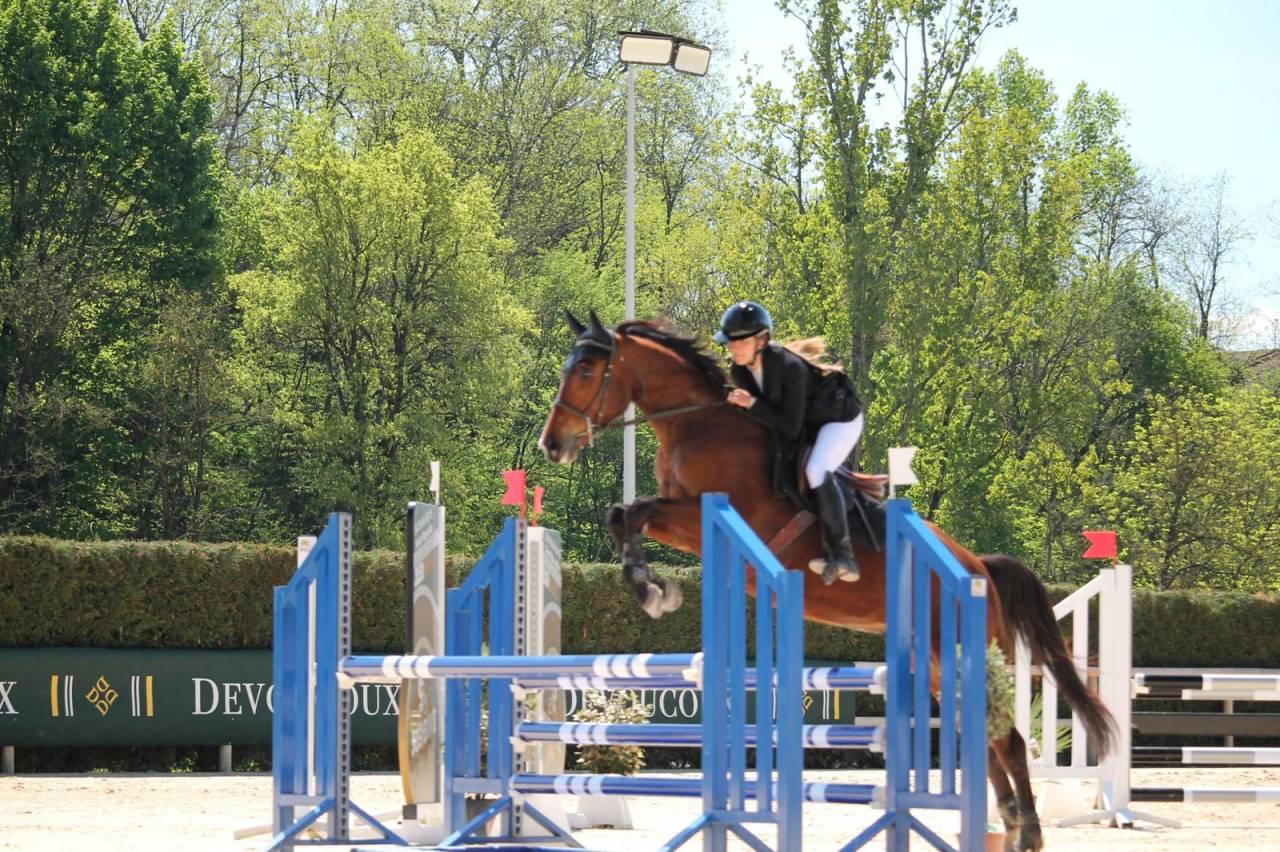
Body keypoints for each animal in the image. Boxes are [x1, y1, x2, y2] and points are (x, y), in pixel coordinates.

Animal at [538, 311, 1114, 852]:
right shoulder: (677, 517)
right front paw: (648, 585)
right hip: (934, 663)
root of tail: (978, 569)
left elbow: (629, 512)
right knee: (981, 735)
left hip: (955, 652)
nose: (552, 445)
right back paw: (1008, 825)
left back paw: (1029, 832)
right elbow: (623, 515)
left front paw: (654, 591)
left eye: (585, 370)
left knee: (1006, 739)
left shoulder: (702, 517)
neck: (698, 425)